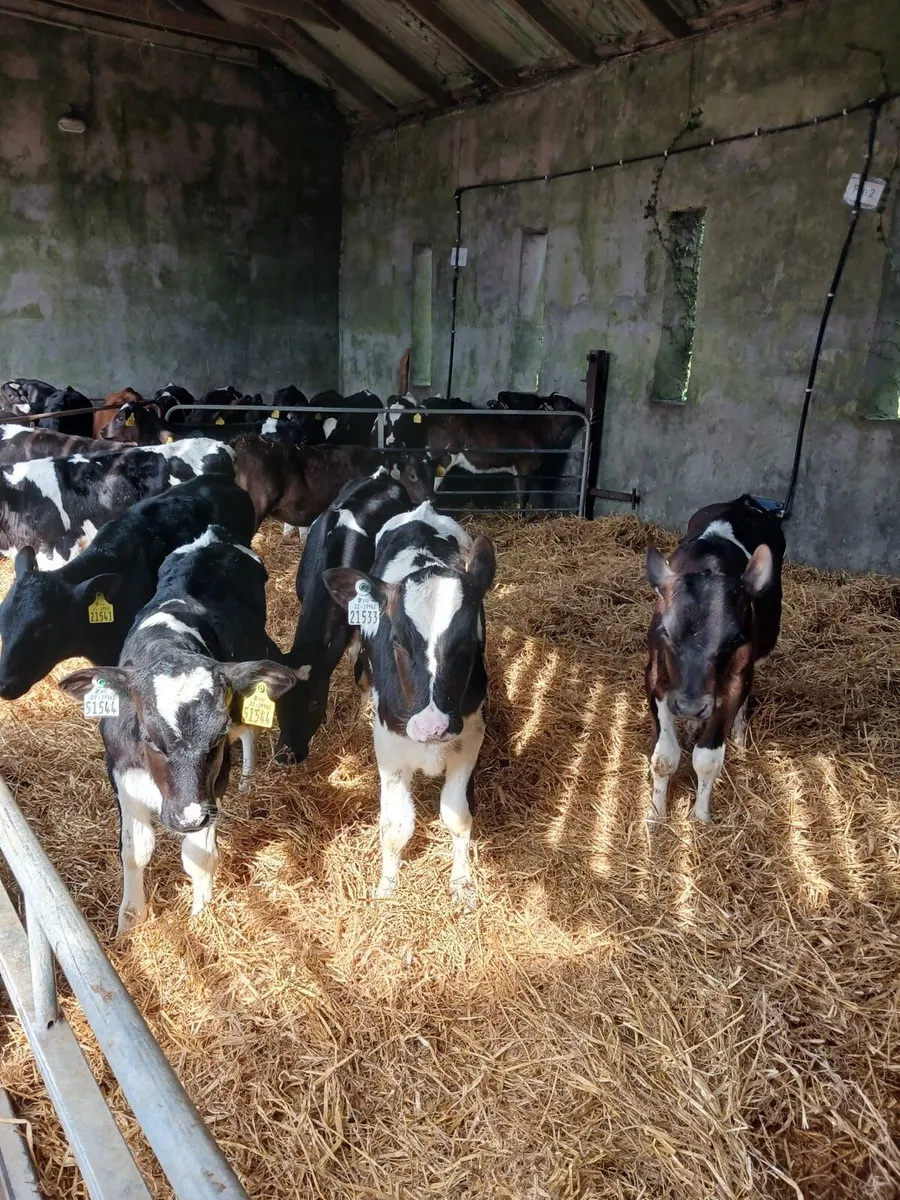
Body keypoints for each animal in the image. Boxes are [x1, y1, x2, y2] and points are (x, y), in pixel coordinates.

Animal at [58, 528, 298, 932]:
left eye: (216, 738)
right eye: (149, 738)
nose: (188, 818)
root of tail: (211, 537)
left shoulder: (211, 790)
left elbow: (198, 857)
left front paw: (203, 916)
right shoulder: (122, 775)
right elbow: (134, 851)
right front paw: (130, 922)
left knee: (250, 730)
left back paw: (249, 781)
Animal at [274, 468, 415, 764]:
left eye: (315, 701)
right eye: (277, 700)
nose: (286, 756)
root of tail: (381, 474)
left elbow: (362, 672)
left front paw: (364, 714)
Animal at [323, 502, 496, 902]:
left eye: (470, 641)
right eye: (397, 639)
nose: (431, 726)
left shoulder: (471, 735)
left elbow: (457, 815)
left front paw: (462, 882)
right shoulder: (388, 747)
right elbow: (396, 825)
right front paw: (387, 885)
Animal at [644, 494, 786, 824]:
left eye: (734, 639)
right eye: (665, 631)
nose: (690, 706)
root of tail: (742, 501)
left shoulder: (734, 682)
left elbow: (706, 759)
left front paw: (700, 817)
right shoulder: (655, 677)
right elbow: (664, 756)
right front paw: (656, 816)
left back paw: (738, 734)